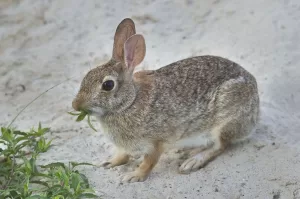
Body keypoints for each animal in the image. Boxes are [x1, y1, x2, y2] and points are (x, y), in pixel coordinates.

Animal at [71, 17, 258, 183]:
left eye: (108, 85)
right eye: (87, 76)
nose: (75, 105)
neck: (129, 102)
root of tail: (256, 112)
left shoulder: (155, 143)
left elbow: (148, 162)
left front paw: (133, 176)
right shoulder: (126, 146)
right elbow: (123, 155)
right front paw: (109, 162)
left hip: (225, 119)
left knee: (221, 145)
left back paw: (192, 161)